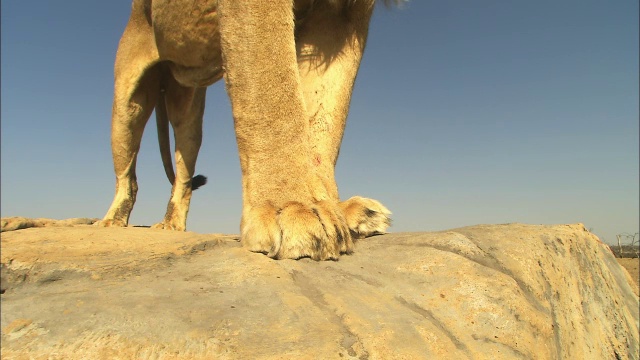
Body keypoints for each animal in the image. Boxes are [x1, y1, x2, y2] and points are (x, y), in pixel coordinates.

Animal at [97, 0, 392, 260]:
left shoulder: (344, 15)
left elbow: (326, 121)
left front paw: (336, 209)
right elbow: (273, 86)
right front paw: (295, 209)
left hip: (189, 112)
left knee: (183, 177)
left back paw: (172, 225)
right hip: (127, 102)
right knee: (127, 177)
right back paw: (112, 220)